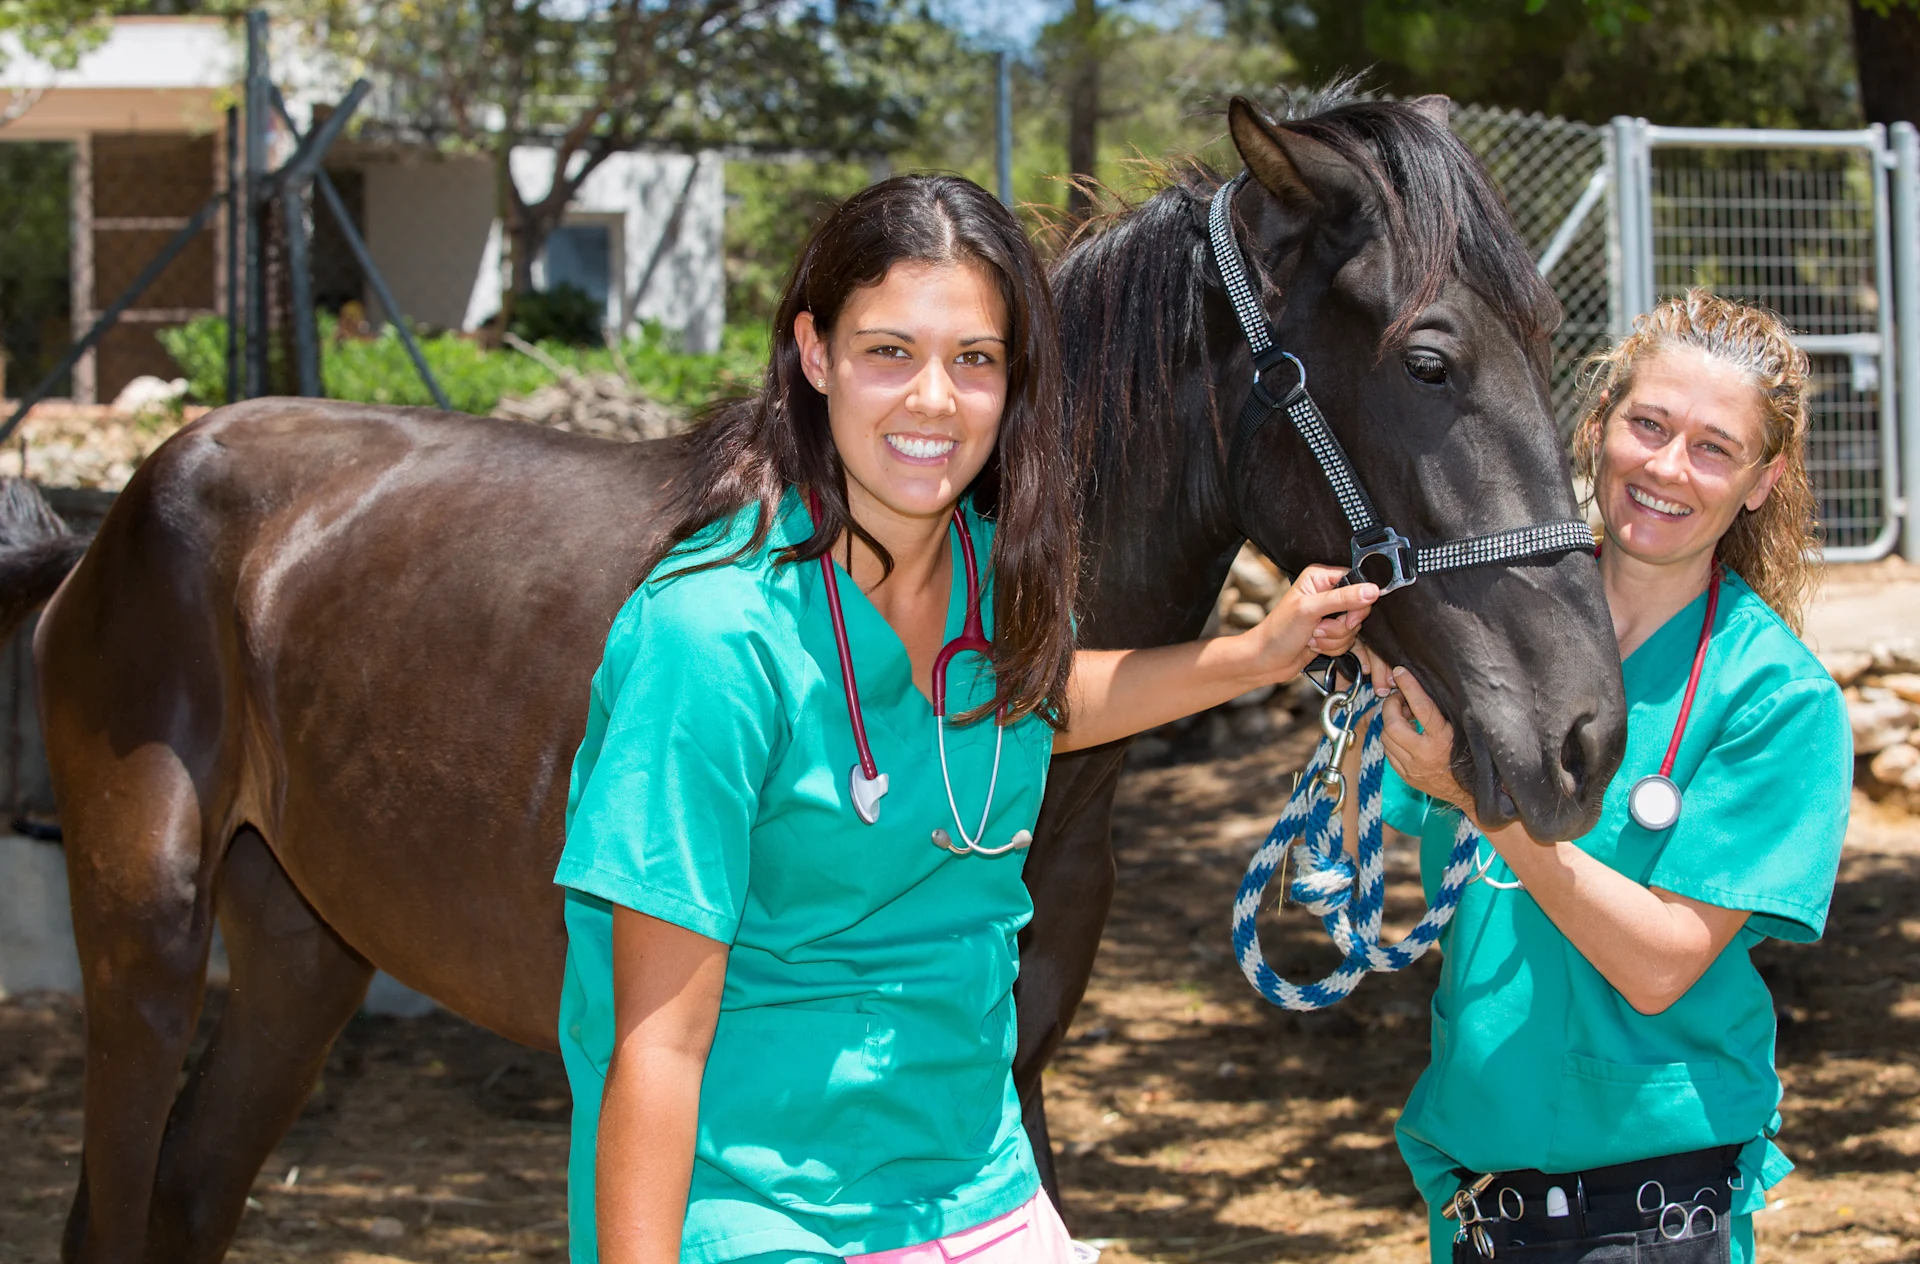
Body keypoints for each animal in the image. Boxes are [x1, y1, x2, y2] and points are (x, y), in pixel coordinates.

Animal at [12, 90, 1626, 1264]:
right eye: (1428, 361)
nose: (1584, 736)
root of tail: (137, 498)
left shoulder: (1008, 1072)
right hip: (144, 944)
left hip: (301, 954)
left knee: (189, 1197)